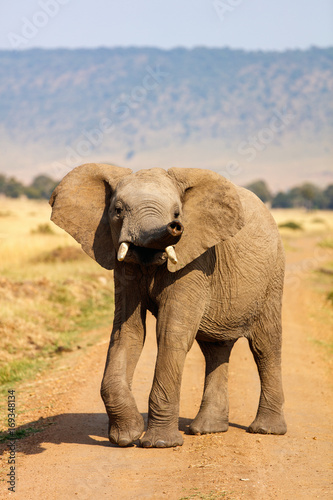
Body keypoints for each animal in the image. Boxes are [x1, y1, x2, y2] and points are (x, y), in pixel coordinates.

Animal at [50, 164, 286, 450]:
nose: (175, 227)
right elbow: (127, 333)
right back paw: (206, 430)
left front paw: (158, 443)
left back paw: (266, 430)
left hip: (273, 275)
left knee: (265, 345)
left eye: (177, 213)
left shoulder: (195, 261)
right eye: (118, 210)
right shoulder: (124, 269)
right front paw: (127, 436)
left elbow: (170, 333)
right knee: (215, 349)